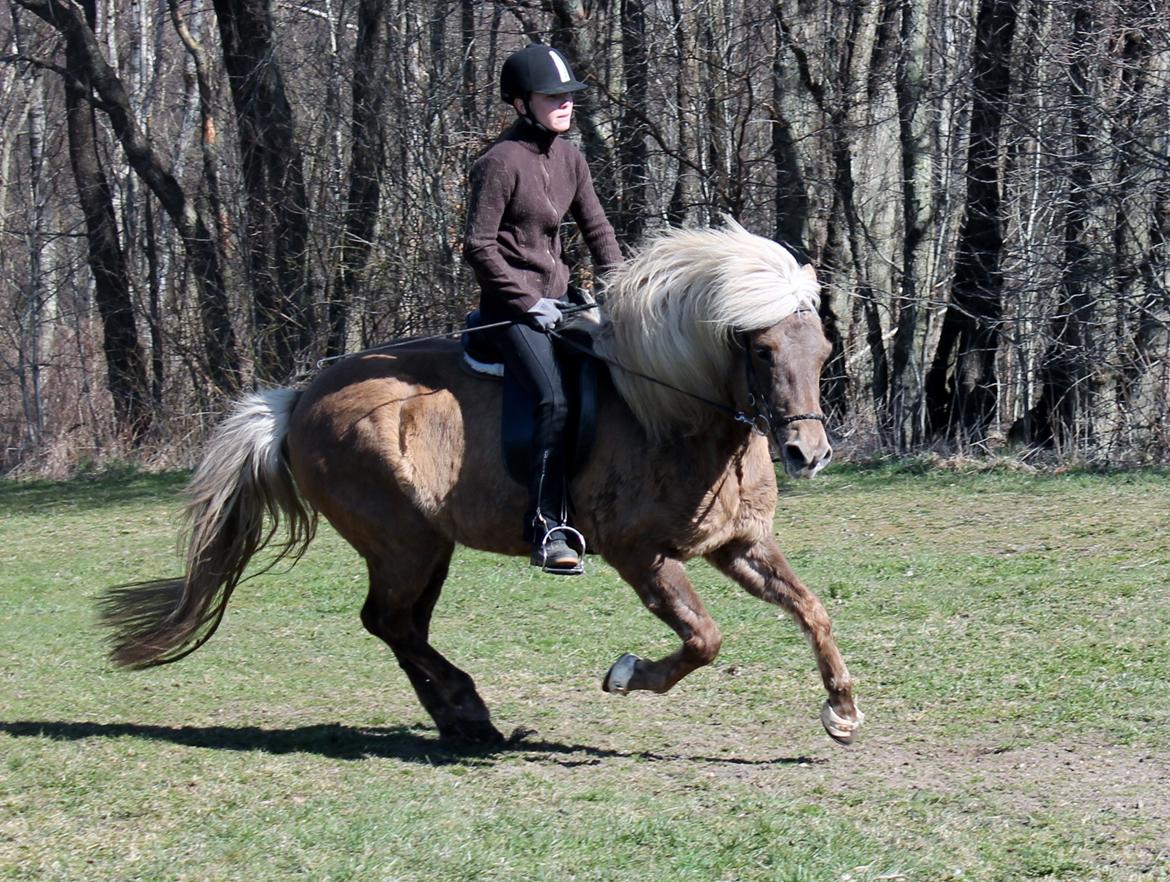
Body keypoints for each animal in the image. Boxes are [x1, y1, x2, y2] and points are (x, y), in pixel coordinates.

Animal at [102, 218, 870, 743]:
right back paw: (467, 710)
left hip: (426, 547)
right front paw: (626, 675)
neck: (673, 414)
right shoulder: (641, 555)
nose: (807, 452)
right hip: (401, 543)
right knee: (389, 621)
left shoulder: (738, 544)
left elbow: (812, 609)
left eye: (823, 347)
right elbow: (704, 639)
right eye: (762, 350)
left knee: (400, 625)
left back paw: (460, 717)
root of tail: (299, 401)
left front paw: (841, 709)